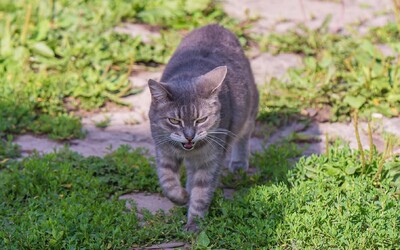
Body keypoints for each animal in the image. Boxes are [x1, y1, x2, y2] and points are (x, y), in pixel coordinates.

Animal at [148, 24, 260, 231]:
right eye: (174, 120)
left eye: (201, 119)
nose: (189, 136)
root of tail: (215, 25)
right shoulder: (164, 151)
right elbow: (167, 182)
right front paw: (182, 196)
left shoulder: (211, 160)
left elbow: (201, 193)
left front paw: (194, 224)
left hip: (249, 110)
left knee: (244, 135)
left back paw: (239, 163)